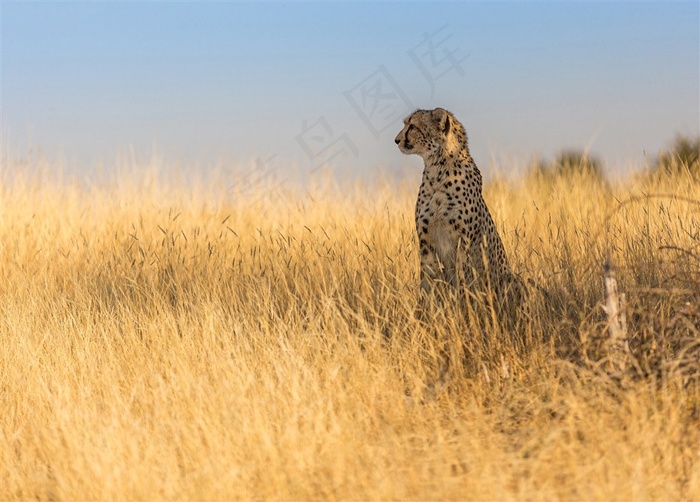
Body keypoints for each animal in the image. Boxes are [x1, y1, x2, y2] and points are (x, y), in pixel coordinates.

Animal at [394, 107, 524, 318]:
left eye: (412, 126)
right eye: (406, 124)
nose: (396, 140)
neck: (438, 171)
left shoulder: (463, 242)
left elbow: (463, 279)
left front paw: (464, 310)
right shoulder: (426, 240)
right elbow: (427, 279)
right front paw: (424, 312)